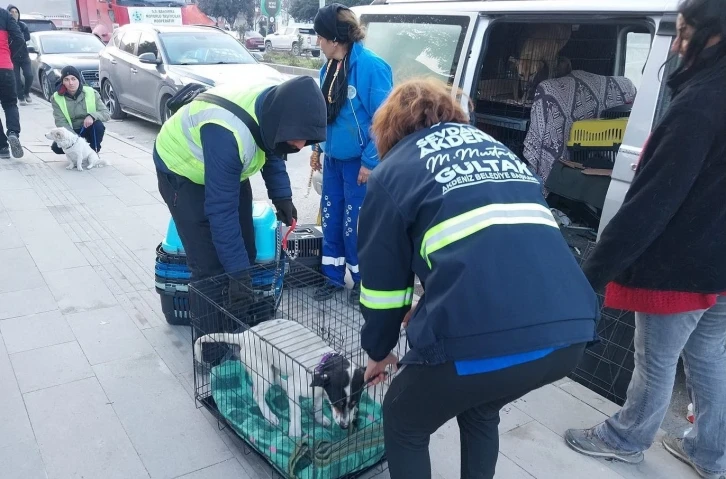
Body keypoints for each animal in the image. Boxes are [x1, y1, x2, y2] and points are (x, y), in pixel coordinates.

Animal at [193, 318, 366, 438]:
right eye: (338, 402)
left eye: (354, 403)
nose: (344, 426)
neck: (323, 362)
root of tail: (245, 335)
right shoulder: (296, 387)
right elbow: (297, 411)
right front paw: (295, 431)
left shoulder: (318, 391)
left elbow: (317, 406)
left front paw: (319, 418)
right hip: (265, 373)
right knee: (258, 395)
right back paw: (269, 416)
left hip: (273, 367)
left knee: (278, 380)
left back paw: (282, 387)